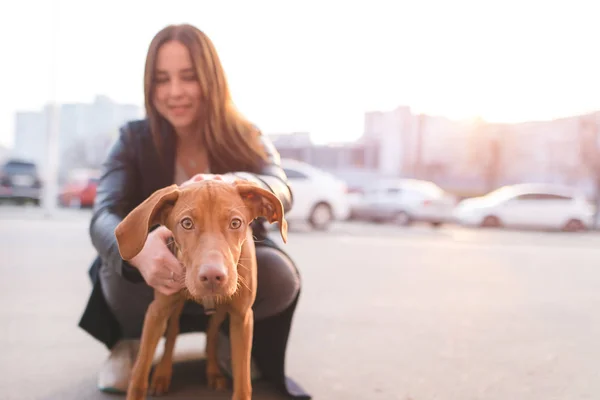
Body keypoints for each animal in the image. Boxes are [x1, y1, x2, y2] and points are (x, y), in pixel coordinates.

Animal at [116, 179, 290, 400]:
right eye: (187, 223)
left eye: (236, 223)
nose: (213, 276)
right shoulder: (156, 311)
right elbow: (140, 370)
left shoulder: (242, 317)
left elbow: (243, 381)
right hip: (173, 306)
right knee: (173, 331)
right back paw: (162, 374)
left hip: (221, 309)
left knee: (211, 334)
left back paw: (213, 372)